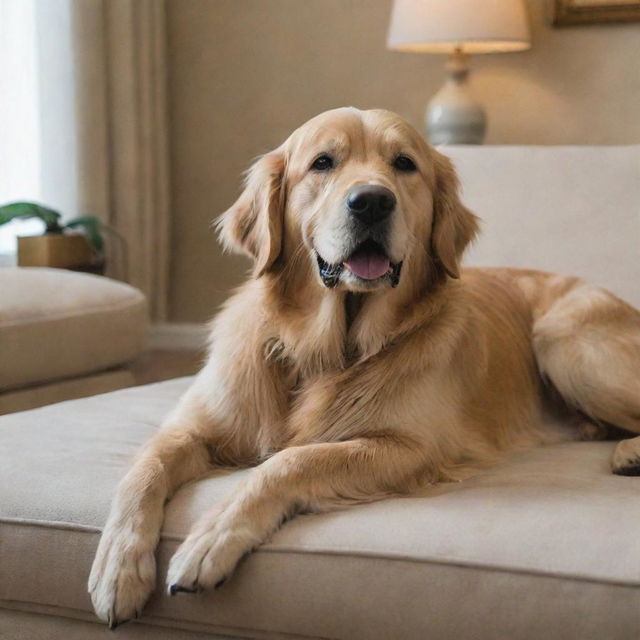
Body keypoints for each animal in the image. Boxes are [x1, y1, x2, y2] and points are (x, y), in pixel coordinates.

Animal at [89, 107, 640, 628]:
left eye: (405, 164)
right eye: (322, 163)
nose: (372, 201)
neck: (320, 352)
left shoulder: (412, 449)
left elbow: (291, 461)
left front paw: (209, 541)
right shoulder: (191, 426)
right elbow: (142, 471)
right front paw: (117, 569)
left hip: (563, 341)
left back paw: (627, 453)